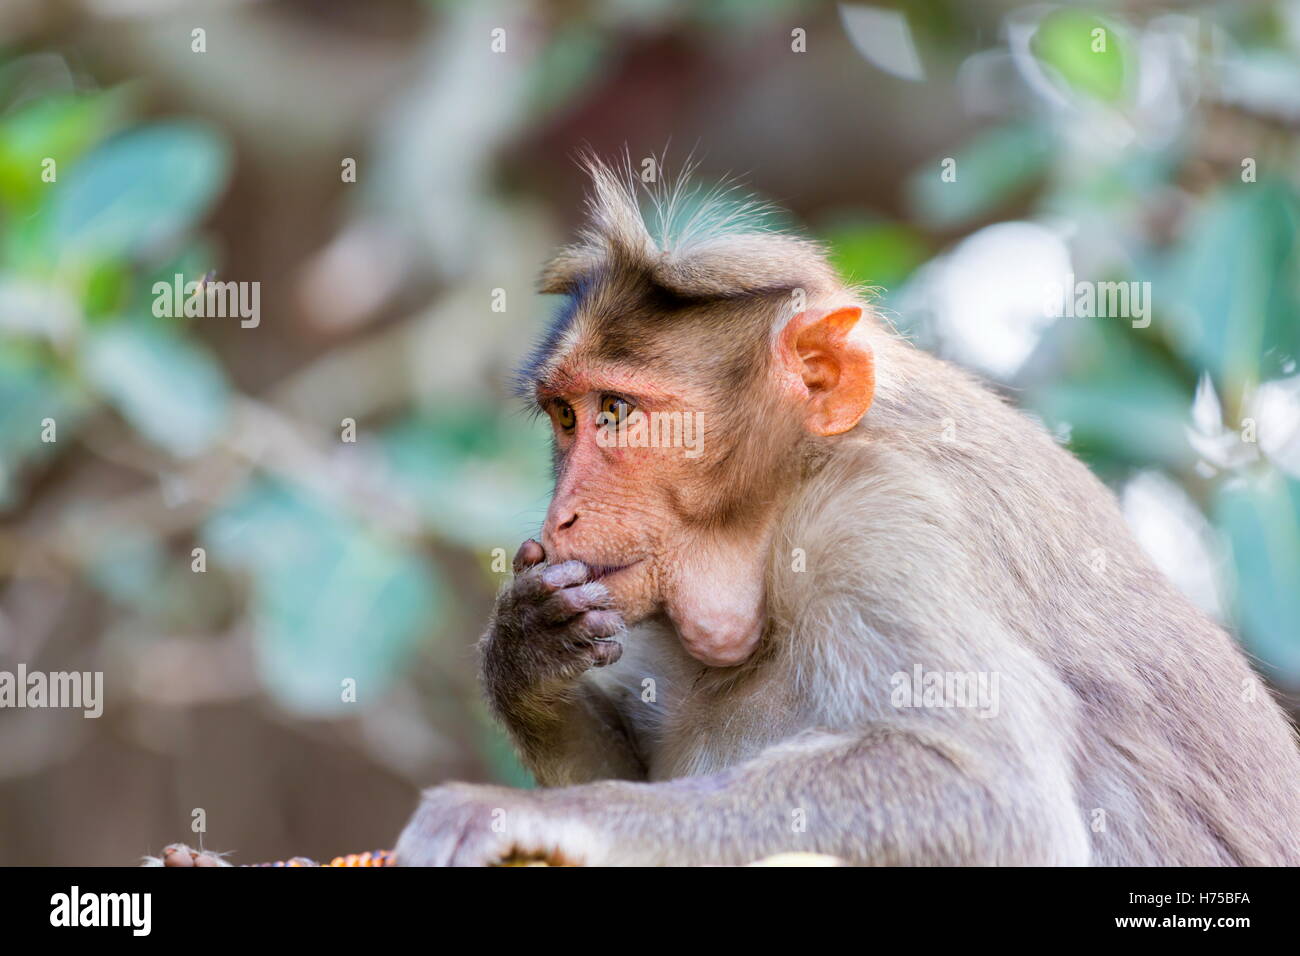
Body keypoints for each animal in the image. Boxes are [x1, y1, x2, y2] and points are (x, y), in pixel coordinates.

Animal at [390, 158, 1300, 868]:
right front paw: (527, 651)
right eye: (566, 418)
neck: (784, 502)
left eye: (615, 412)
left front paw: (532, 814)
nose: (563, 515)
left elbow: (988, 790)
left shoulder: (878, 526)